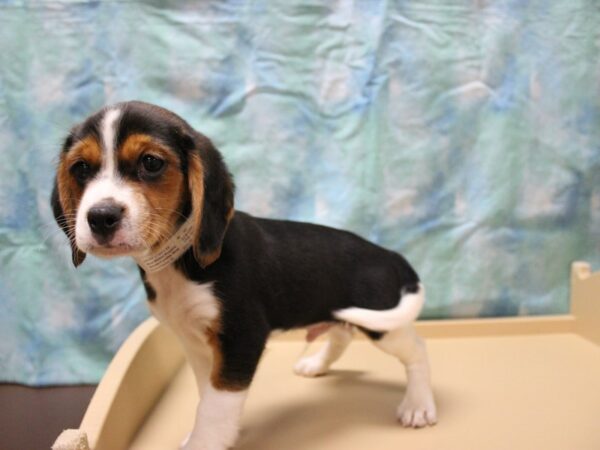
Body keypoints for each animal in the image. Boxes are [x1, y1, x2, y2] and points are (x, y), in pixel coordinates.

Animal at [51, 102, 436, 450]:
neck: (180, 261)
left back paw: (418, 405)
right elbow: (205, 398)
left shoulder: (241, 340)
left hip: (382, 324)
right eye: (81, 168)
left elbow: (214, 408)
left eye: (151, 162)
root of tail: (390, 255)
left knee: (417, 350)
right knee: (342, 334)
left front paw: (202, 443)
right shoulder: (195, 345)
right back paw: (316, 363)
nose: (100, 217)